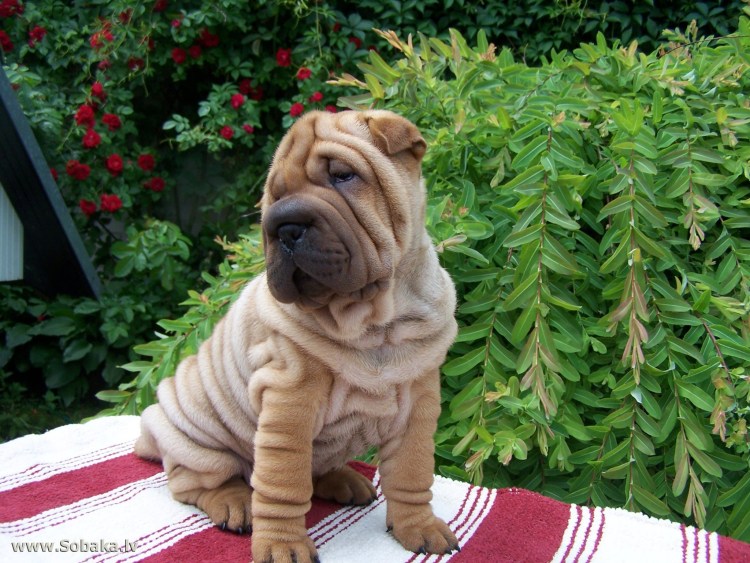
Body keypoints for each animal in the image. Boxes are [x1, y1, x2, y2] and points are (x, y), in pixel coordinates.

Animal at [135, 109, 459, 562]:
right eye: (274, 197)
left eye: (342, 175)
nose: (283, 227)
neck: (372, 322)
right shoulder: (289, 402)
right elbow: (283, 484)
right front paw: (281, 545)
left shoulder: (418, 402)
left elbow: (411, 475)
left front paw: (419, 527)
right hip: (197, 441)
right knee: (196, 483)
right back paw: (235, 502)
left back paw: (343, 480)